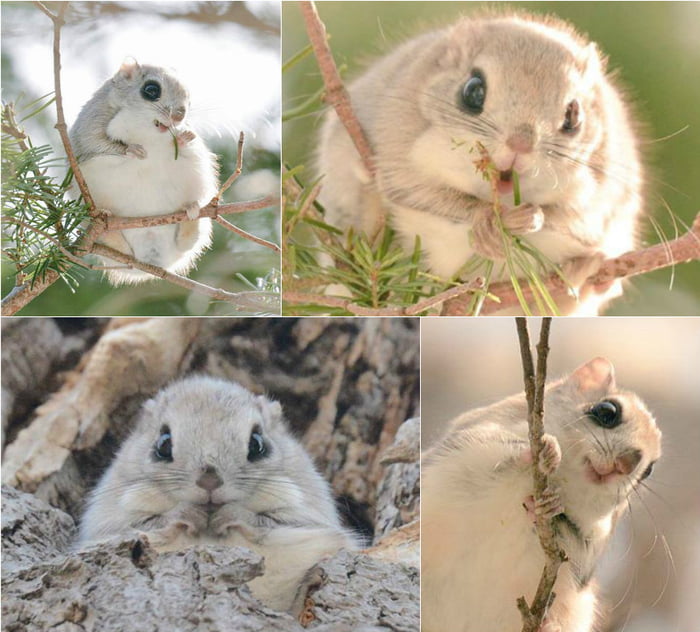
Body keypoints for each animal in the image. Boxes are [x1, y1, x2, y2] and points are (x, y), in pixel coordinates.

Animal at [70, 60, 219, 286]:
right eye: (151, 90)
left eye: (189, 99)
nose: (179, 115)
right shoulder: (90, 125)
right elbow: (97, 142)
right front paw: (132, 150)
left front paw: (185, 136)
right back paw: (107, 222)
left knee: (187, 242)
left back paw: (191, 211)